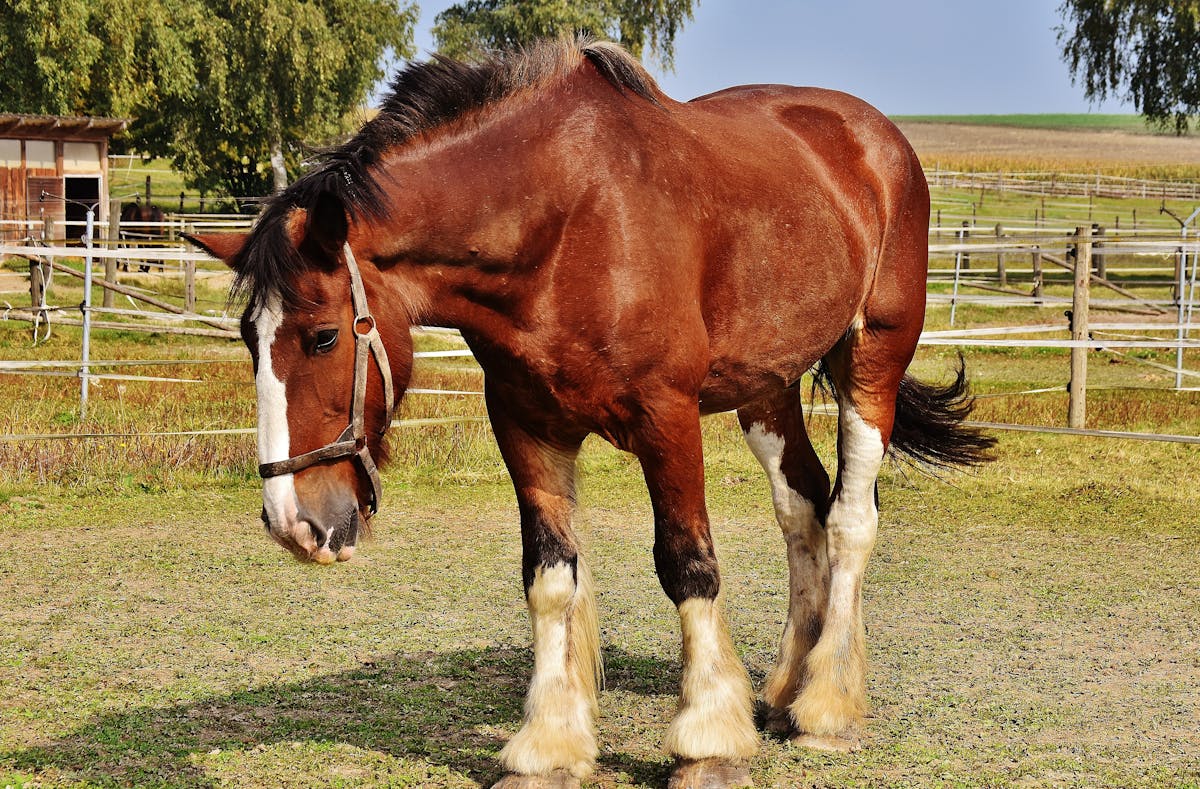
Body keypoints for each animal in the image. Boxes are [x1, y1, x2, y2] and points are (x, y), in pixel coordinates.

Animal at [188, 38, 994, 789]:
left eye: (323, 335)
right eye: (249, 339)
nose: (293, 522)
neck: (565, 224)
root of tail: (875, 138)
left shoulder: (667, 419)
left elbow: (689, 566)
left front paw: (706, 741)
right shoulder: (526, 426)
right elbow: (549, 578)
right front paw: (548, 745)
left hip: (872, 361)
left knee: (851, 517)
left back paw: (827, 706)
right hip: (766, 388)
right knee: (802, 508)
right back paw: (784, 689)